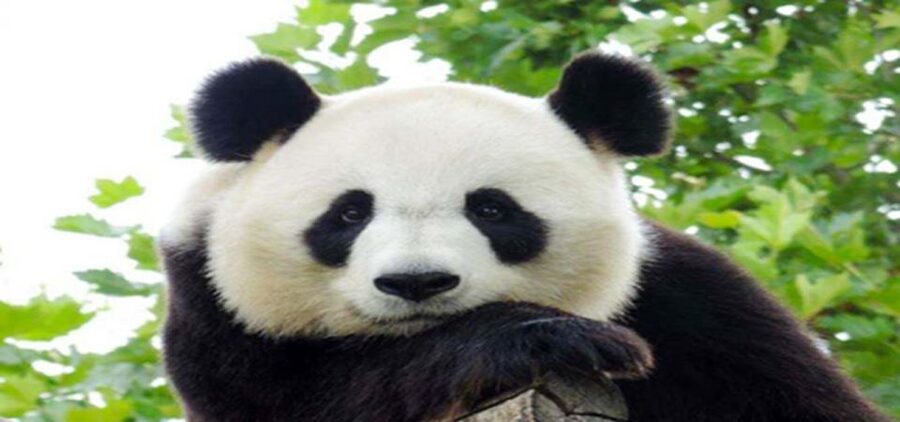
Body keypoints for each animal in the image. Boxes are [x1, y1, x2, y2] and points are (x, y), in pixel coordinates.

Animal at [160, 52, 887, 422]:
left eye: (492, 209)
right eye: (347, 215)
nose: (417, 282)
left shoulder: (702, 314)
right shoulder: (217, 312)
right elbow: (314, 400)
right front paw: (545, 337)